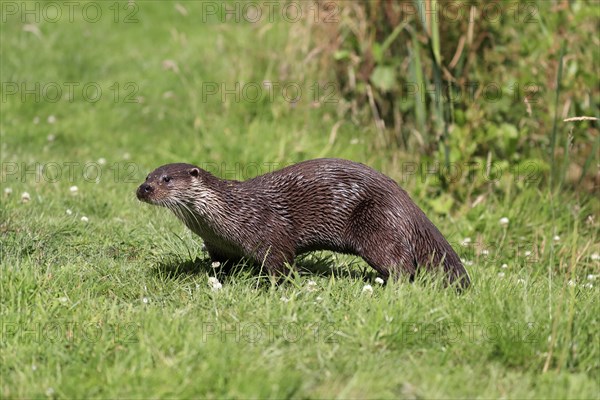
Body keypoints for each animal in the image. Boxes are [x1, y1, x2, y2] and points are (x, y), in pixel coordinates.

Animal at [136, 159, 468, 288]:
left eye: (166, 179)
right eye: (147, 176)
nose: (144, 189)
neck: (230, 214)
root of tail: (405, 200)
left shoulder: (269, 232)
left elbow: (281, 264)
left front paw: (268, 288)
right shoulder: (218, 246)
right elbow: (221, 266)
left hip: (378, 227)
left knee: (402, 265)